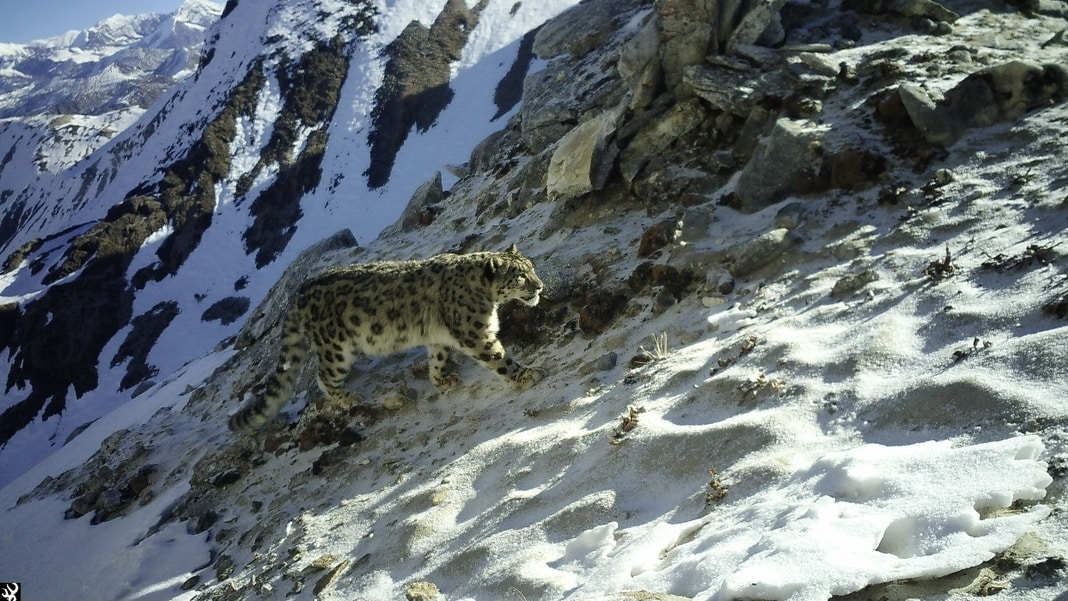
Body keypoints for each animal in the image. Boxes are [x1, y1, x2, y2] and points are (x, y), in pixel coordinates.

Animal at [225, 245, 542, 433]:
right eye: (520, 276)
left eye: (532, 267)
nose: (540, 285)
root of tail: (297, 294)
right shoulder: (476, 333)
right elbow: (499, 358)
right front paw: (526, 375)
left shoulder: (440, 335)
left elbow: (438, 355)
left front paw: (441, 379)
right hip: (335, 348)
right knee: (324, 376)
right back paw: (348, 398)